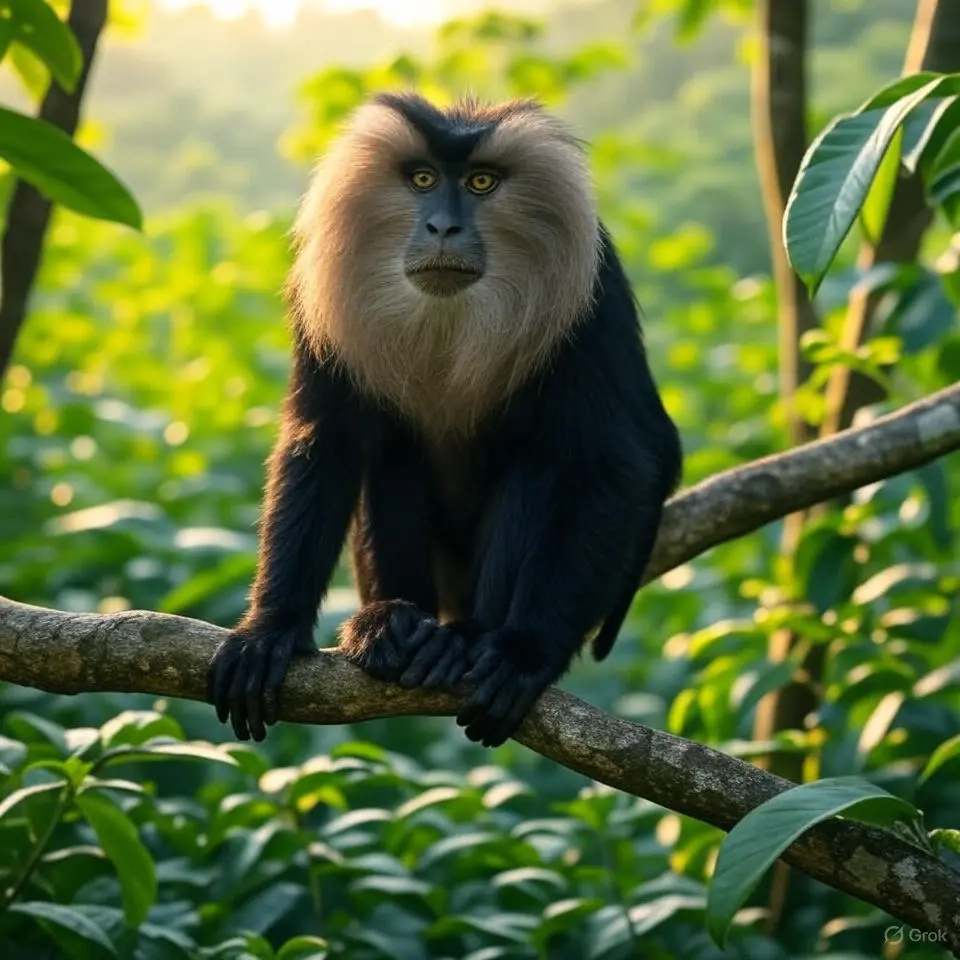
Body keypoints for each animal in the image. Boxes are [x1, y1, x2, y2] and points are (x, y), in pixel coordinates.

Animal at [207, 92, 682, 749]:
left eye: (481, 182)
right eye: (424, 180)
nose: (442, 227)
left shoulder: (592, 291)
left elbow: (608, 465)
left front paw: (527, 653)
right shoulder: (319, 299)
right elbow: (324, 440)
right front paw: (270, 628)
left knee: (540, 467)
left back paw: (466, 636)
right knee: (392, 459)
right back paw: (395, 625)